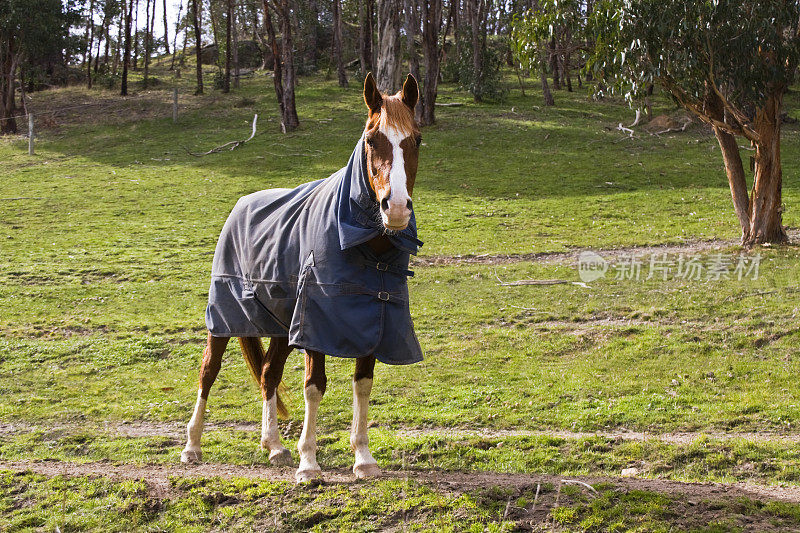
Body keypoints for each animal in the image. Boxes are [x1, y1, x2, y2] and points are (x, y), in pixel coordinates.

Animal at [178, 72, 422, 484]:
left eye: (416, 139)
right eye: (371, 139)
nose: (397, 208)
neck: (365, 245)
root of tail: (241, 205)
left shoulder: (375, 319)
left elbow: (363, 384)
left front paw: (363, 458)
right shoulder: (315, 323)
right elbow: (314, 387)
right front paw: (309, 462)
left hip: (279, 326)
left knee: (268, 374)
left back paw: (274, 447)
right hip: (224, 316)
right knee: (208, 372)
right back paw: (192, 446)